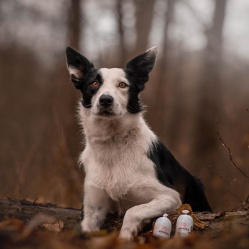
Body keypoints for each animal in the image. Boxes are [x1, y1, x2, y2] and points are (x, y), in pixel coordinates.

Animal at [65, 46, 211, 239]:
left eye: (122, 85)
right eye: (94, 84)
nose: (105, 100)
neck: (113, 143)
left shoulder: (170, 196)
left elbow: (132, 211)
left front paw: (126, 236)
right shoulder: (93, 207)